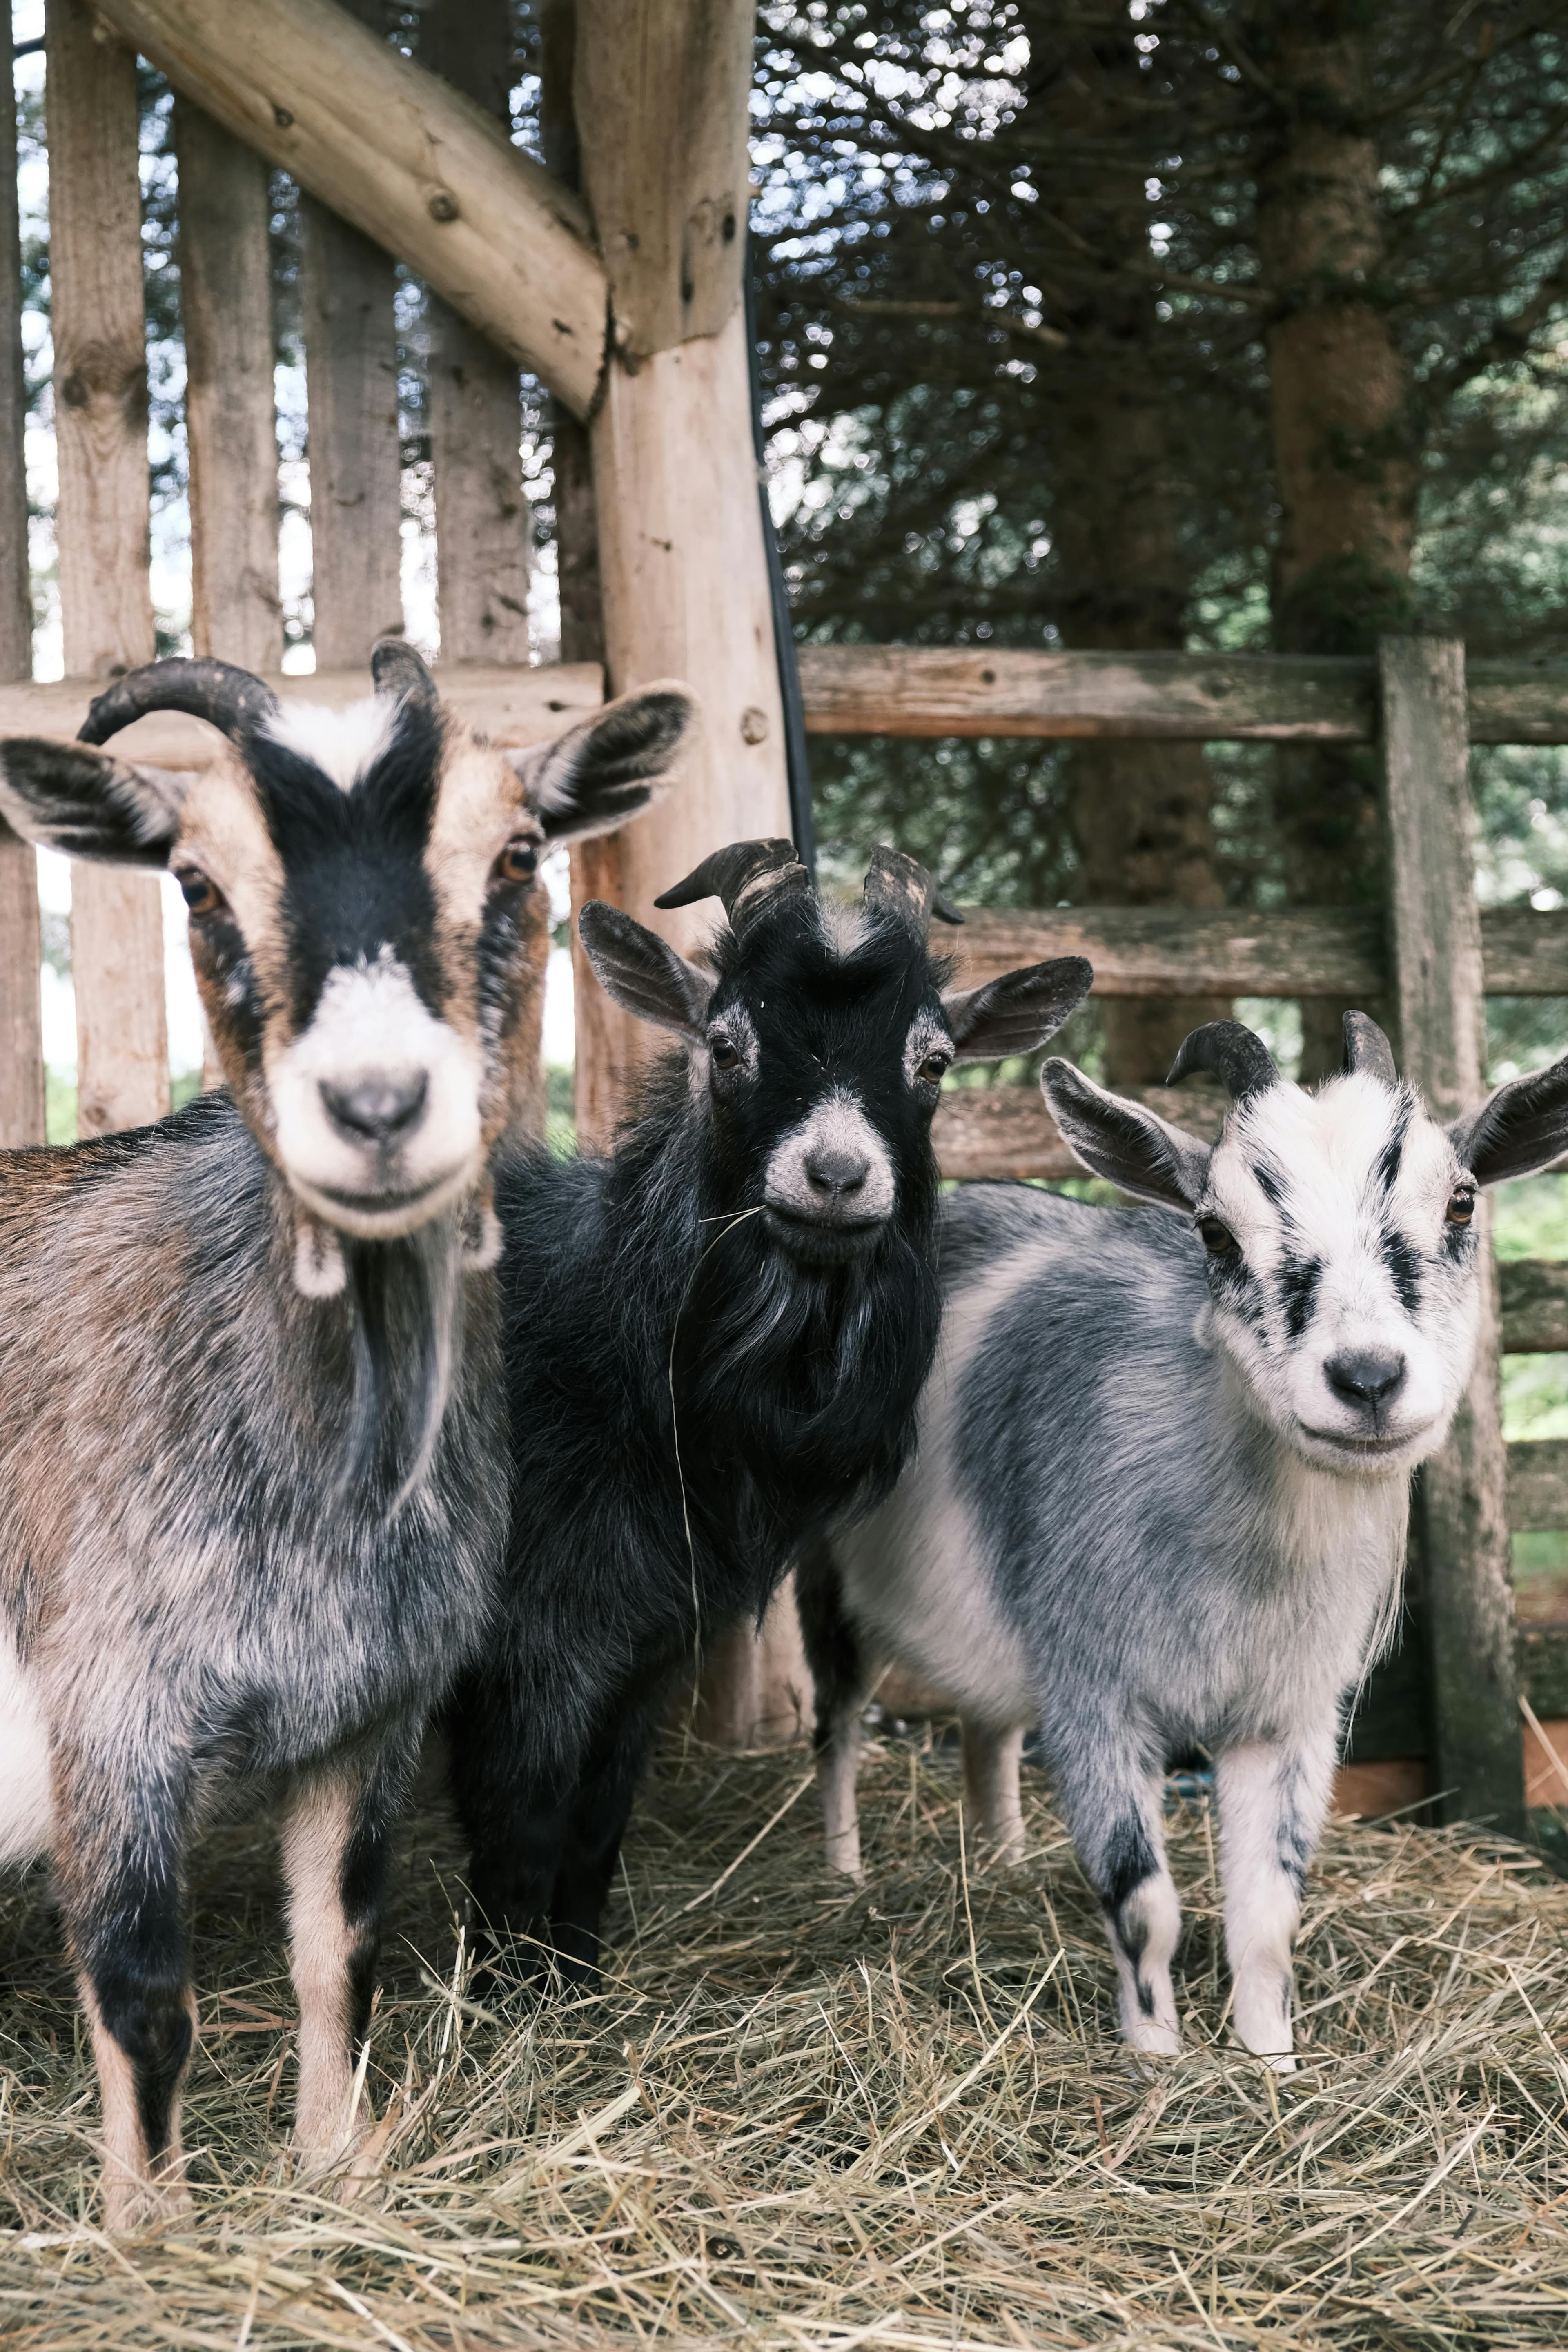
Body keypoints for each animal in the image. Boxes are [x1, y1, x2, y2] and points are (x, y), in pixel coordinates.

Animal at [0, 645, 692, 2224]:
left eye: (519, 854)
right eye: (195, 882)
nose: (377, 1106)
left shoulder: (373, 1706)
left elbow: (341, 1945)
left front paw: (337, 2166)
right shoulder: (108, 1712)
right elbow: (140, 1986)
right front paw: (150, 2230)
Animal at [443, 841, 1093, 1986]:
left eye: (933, 1061)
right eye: (725, 1043)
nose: (835, 1174)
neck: (600, 1336)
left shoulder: (650, 1632)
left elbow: (597, 1818)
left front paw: (581, 1979)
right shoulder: (532, 1639)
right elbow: (523, 1822)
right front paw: (508, 1996)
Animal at [801, 1013, 1568, 2070]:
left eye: (1459, 1201)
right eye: (1213, 1230)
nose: (1367, 1377)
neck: (1240, 1560)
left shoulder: (1286, 1712)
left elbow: (1266, 1917)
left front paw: (1271, 2064)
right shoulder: (1094, 1694)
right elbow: (1145, 1908)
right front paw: (1157, 2060)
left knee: (984, 1729)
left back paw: (1001, 1864)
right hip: (827, 1581)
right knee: (834, 1727)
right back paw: (842, 1875)